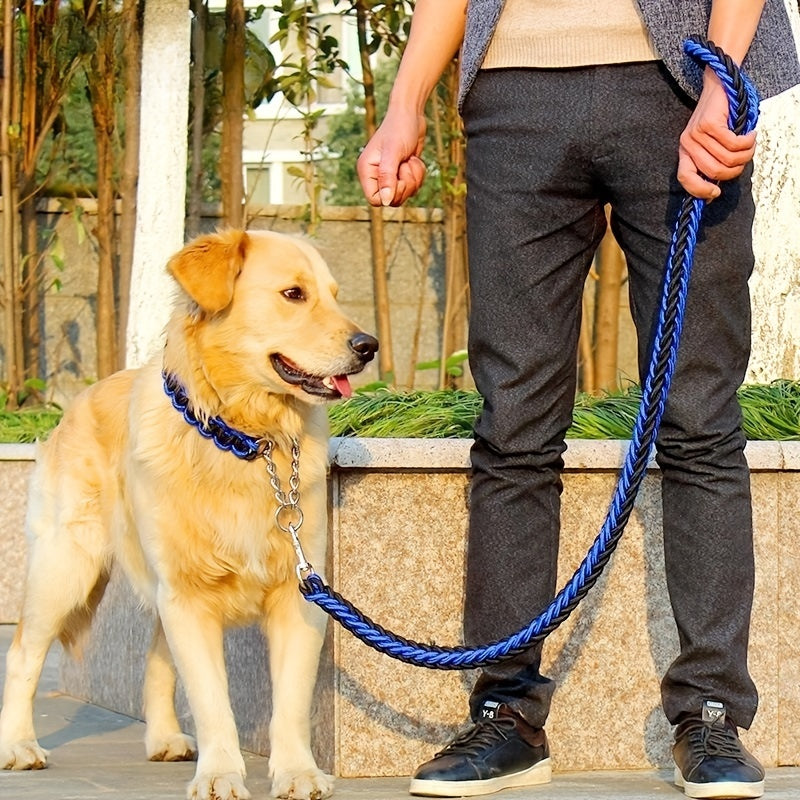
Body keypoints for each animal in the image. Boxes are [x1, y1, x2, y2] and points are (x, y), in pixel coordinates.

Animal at [0, 228, 378, 796]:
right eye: (294, 294)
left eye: (334, 295)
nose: (368, 346)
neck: (244, 441)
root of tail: (79, 400)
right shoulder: (189, 596)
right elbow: (212, 701)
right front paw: (221, 774)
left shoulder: (296, 593)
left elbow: (289, 703)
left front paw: (296, 772)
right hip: (66, 567)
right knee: (23, 652)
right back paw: (18, 746)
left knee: (156, 659)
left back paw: (162, 738)